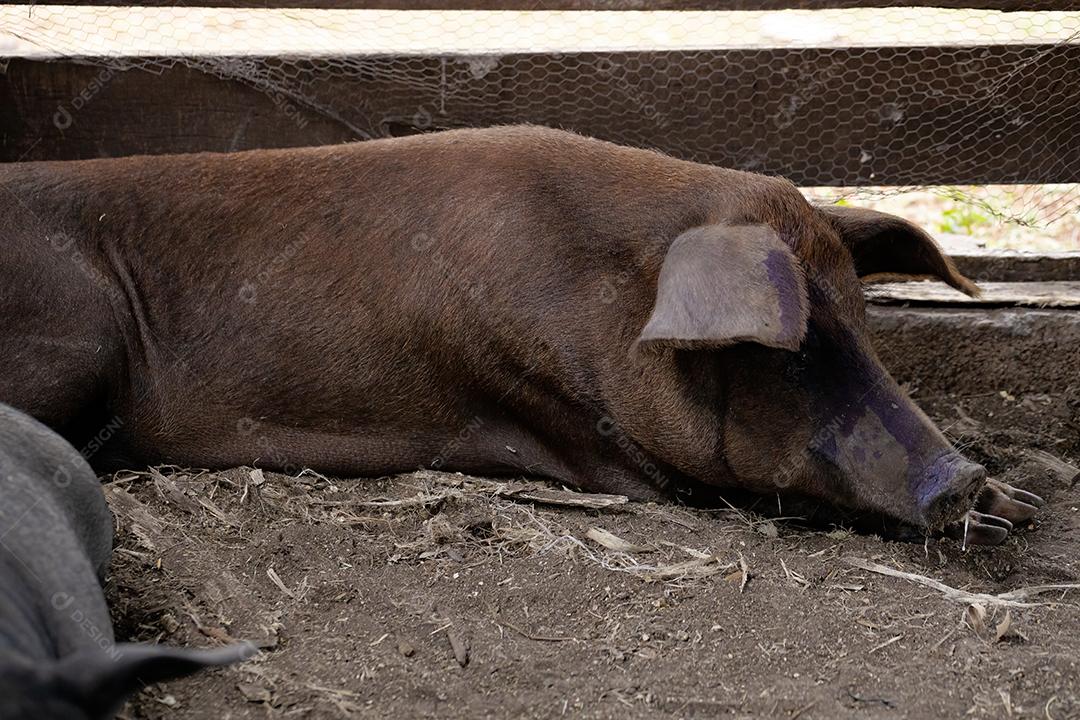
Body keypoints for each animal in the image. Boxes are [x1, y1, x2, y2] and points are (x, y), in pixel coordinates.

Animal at [0, 125, 1043, 544]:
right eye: (790, 352)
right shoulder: (598, 438)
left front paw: (1022, 506)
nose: (964, 477)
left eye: (862, 324)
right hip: (79, 330)